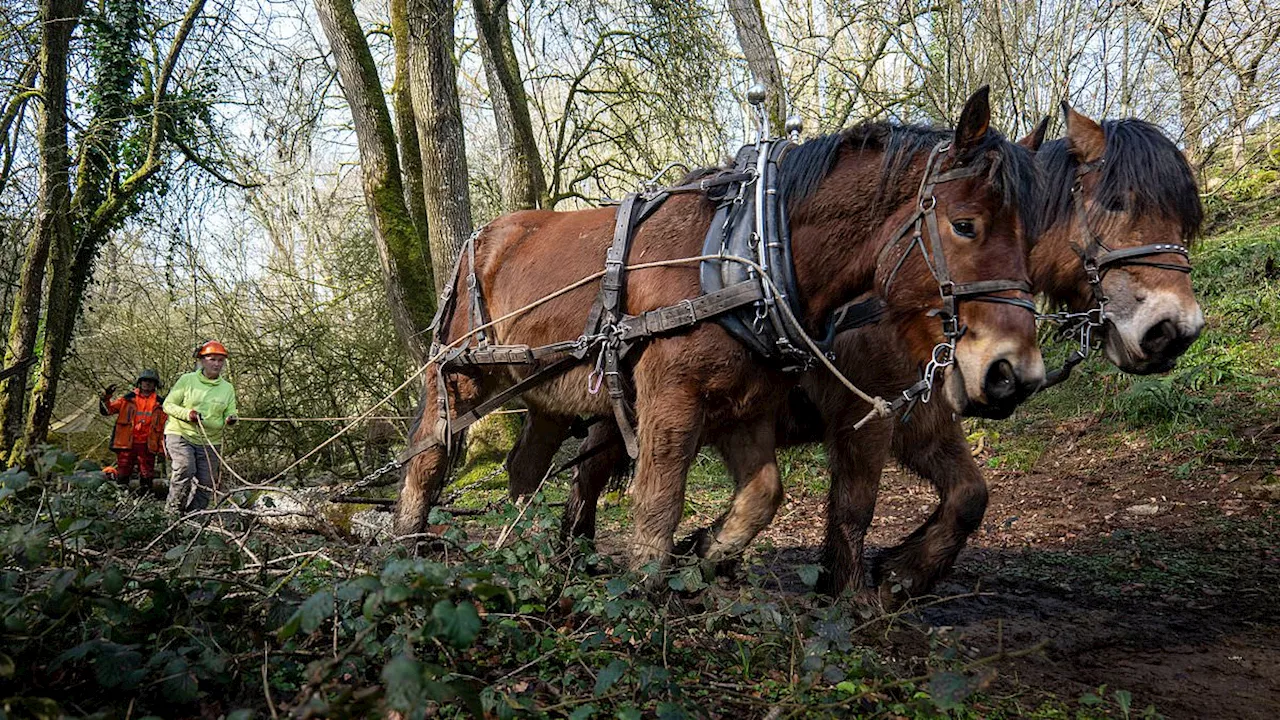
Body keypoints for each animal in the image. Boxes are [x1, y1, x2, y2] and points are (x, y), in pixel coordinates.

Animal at [394, 87, 1045, 580]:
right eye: (965, 225)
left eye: (1031, 235)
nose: (1015, 373)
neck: (750, 252)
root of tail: (480, 239)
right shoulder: (676, 400)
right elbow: (660, 506)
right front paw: (646, 598)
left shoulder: (747, 406)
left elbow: (765, 496)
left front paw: (709, 553)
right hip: (459, 375)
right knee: (428, 458)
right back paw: (406, 547)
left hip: (549, 394)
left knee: (526, 469)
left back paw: (522, 549)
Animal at [560, 103, 1204, 597]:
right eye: (1118, 203)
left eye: (1182, 218)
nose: (1175, 330)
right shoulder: (862, 416)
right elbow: (854, 507)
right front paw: (846, 595)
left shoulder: (924, 415)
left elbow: (970, 496)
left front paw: (903, 571)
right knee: (590, 477)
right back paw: (575, 562)